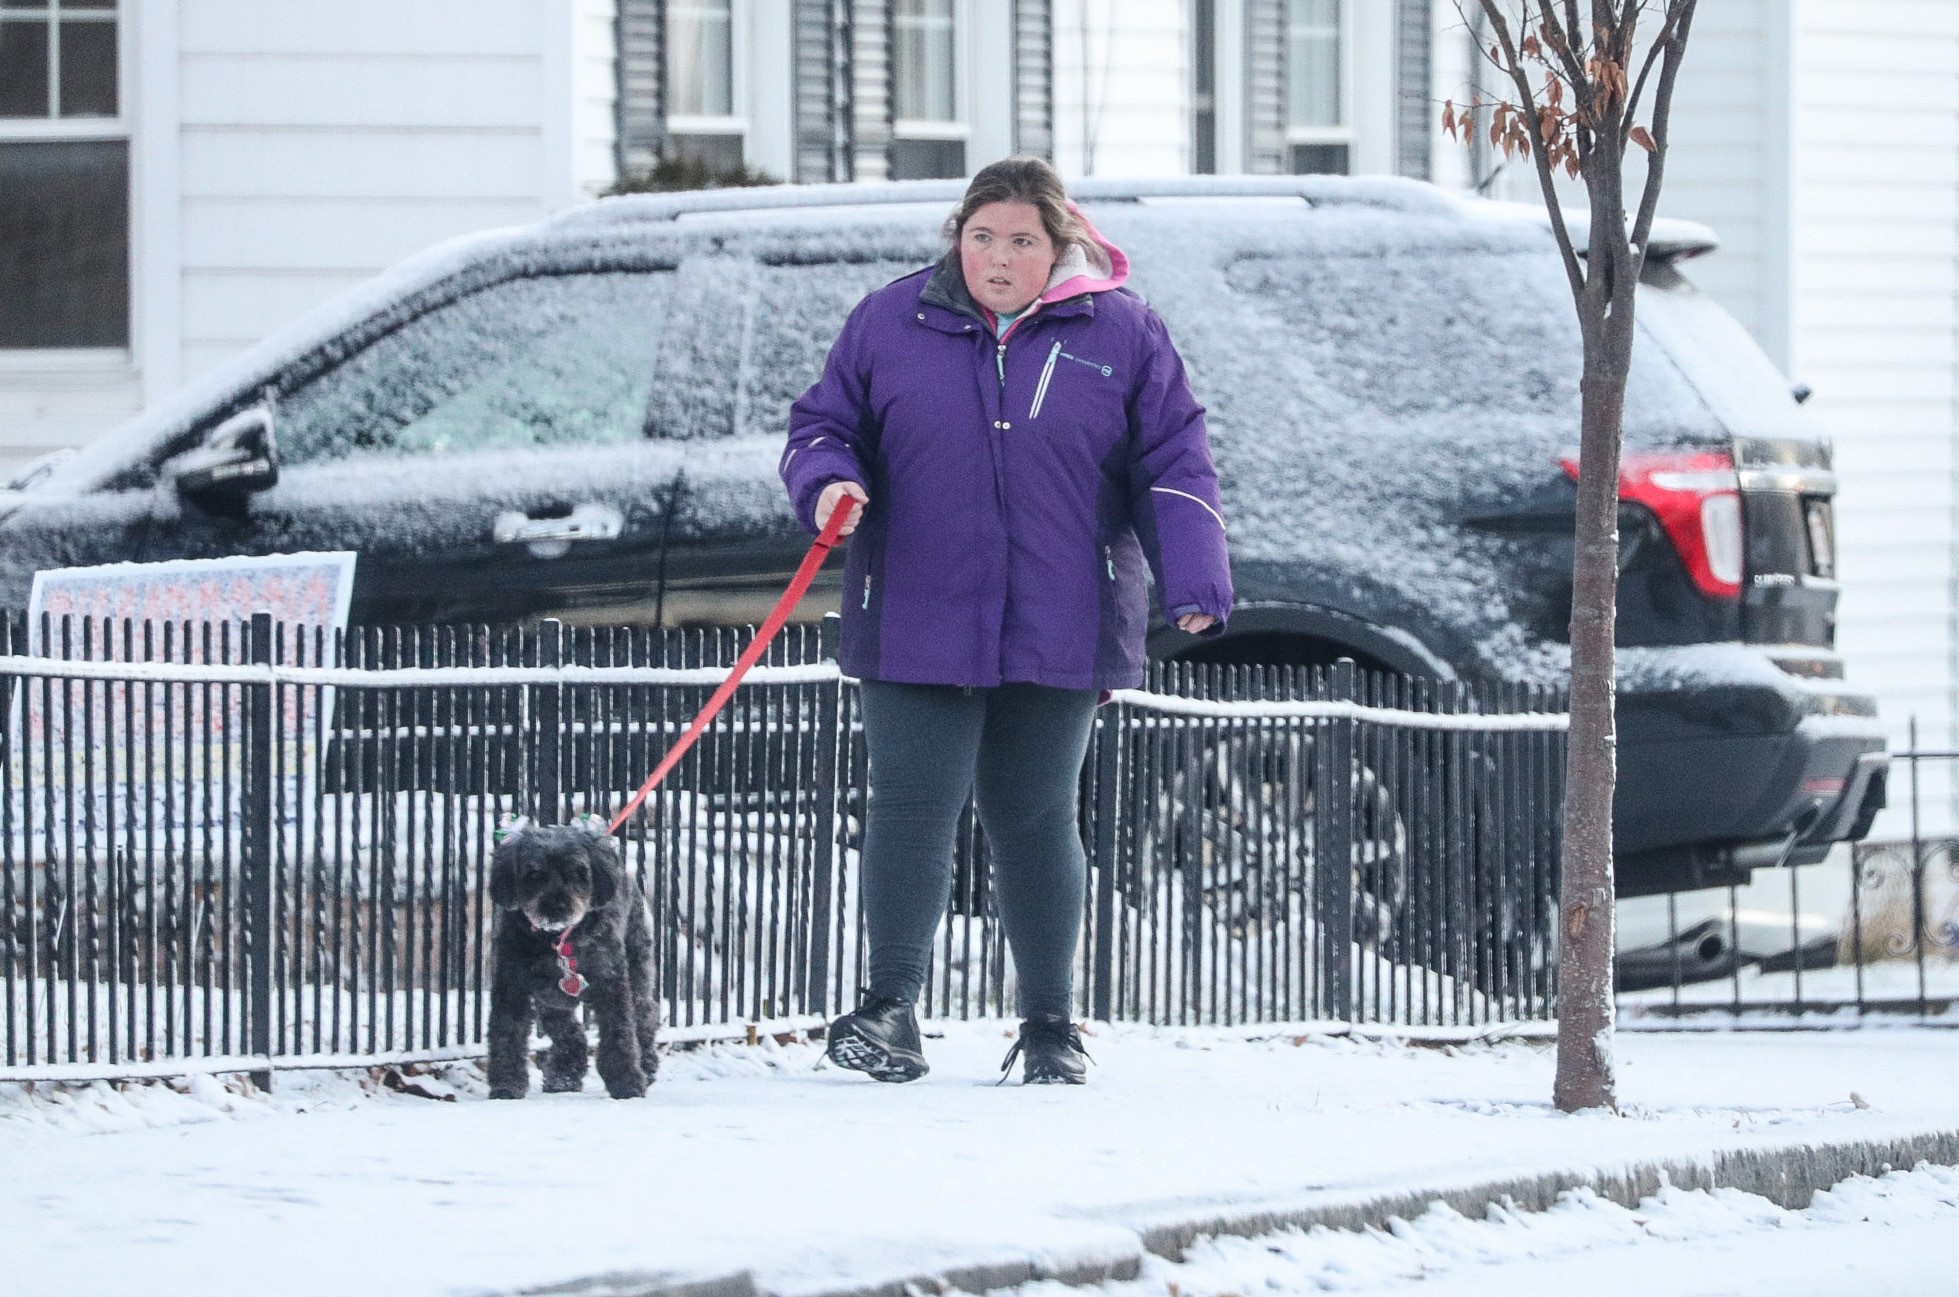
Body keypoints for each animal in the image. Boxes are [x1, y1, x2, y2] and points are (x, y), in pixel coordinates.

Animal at [485, 818, 662, 1104]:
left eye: (578, 873)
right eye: (534, 874)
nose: (557, 906)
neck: (556, 939)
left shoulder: (610, 985)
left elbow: (620, 1034)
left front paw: (627, 1083)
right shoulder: (511, 987)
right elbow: (506, 1035)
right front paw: (506, 1086)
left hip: (637, 971)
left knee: (645, 1014)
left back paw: (646, 1063)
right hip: (551, 1001)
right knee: (570, 1033)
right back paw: (563, 1076)